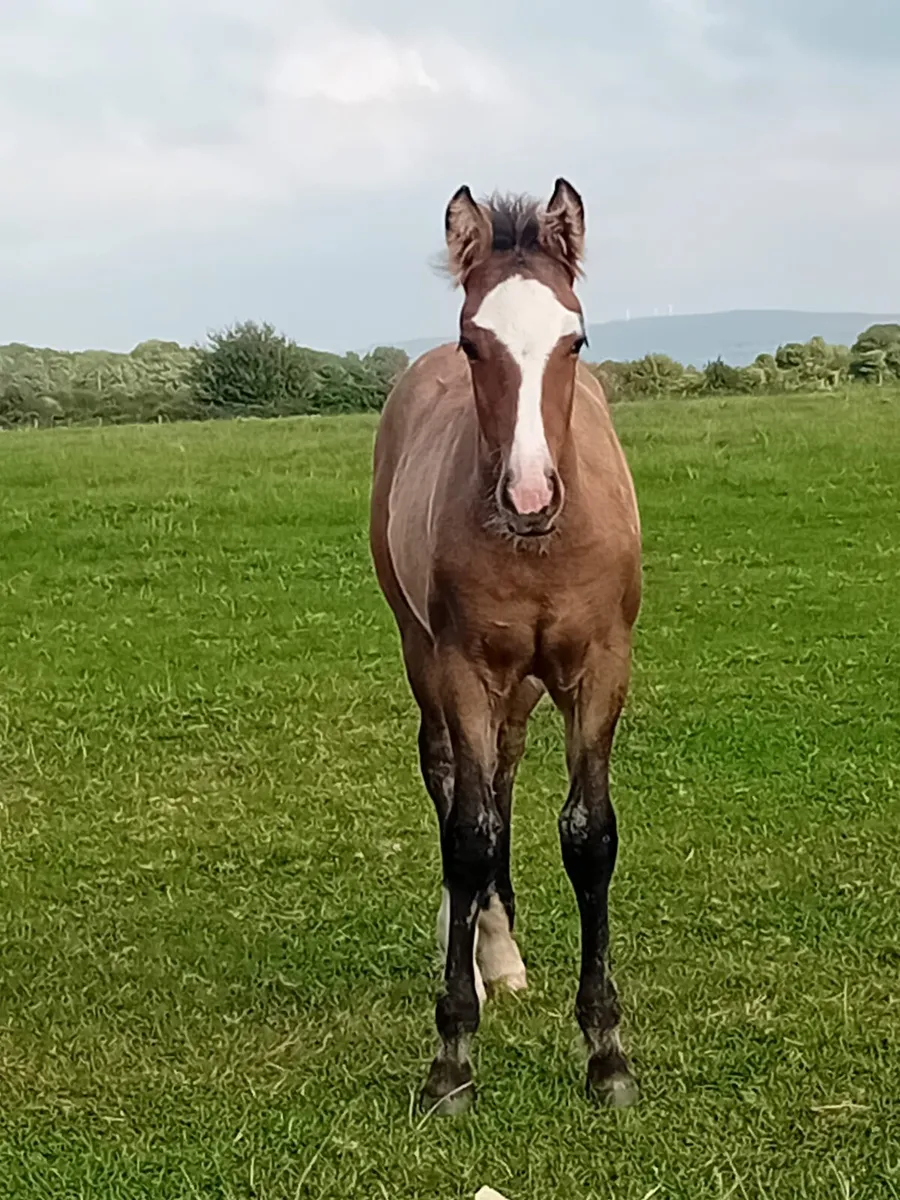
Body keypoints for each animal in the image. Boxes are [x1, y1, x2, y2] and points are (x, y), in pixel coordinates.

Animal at [368, 178, 642, 1113]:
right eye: (472, 340)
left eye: (576, 337)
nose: (529, 496)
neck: (538, 546)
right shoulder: (462, 667)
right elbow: (468, 832)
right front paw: (451, 1053)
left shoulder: (600, 667)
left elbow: (589, 835)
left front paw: (607, 1053)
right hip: (424, 651)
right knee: (454, 778)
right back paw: (481, 948)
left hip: (522, 685)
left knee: (509, 771)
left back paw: (504, 949)